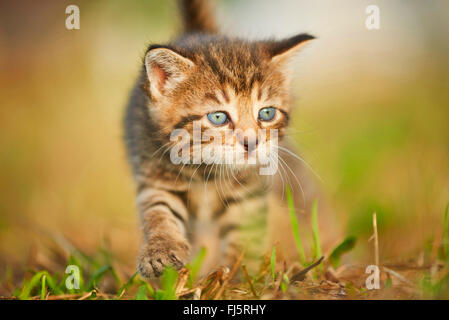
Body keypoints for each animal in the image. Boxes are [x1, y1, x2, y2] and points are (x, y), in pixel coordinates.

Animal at [122, 0, 328, 278]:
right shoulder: (155, 172)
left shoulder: (250, 190)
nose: (251, 142)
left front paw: (238, 276)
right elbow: (159, 211)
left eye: (266, 113)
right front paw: (159, 252)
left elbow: (244, 234)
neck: (206, 172)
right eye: (218, 117)